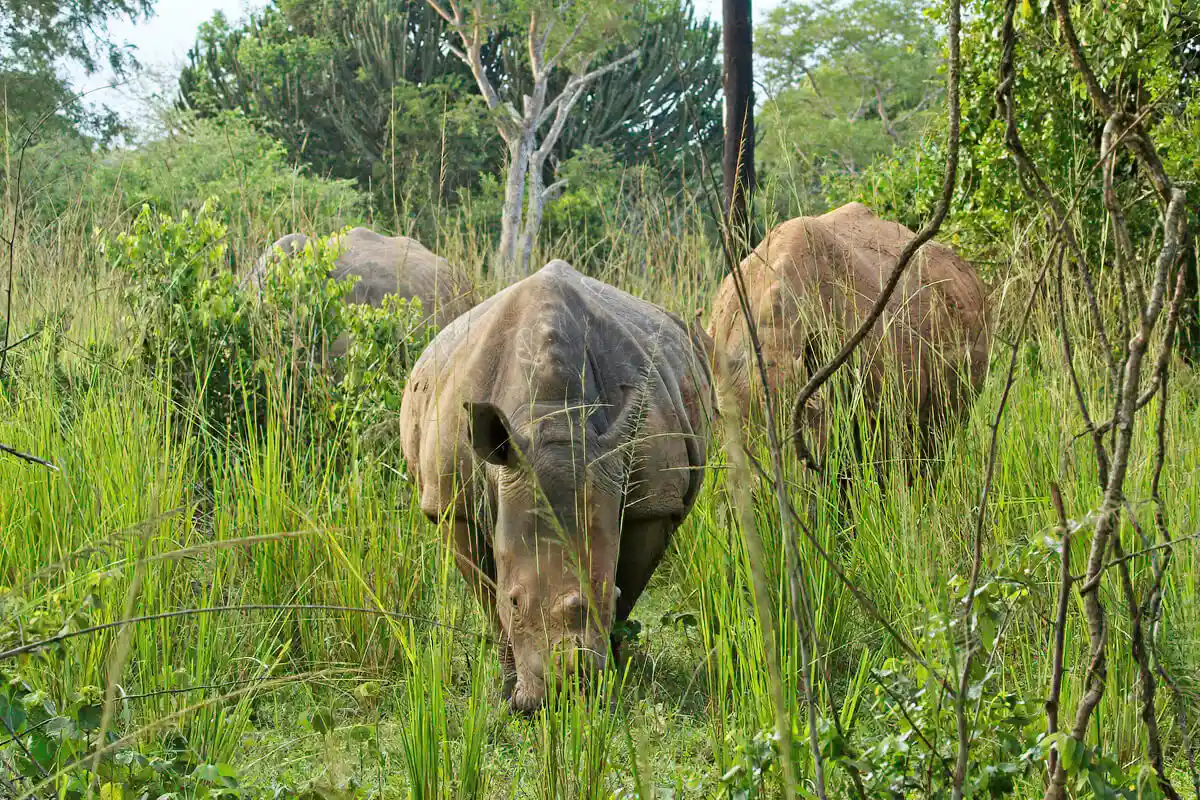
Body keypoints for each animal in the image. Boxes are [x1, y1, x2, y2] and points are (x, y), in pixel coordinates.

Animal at [399, 261, 714, 711]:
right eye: (516, 601)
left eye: (609, 596)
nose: (566, 696)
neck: (552, 417)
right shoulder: (451, 503)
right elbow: (489, 600)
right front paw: (507, 690)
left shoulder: (654, 501)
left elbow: (629, 587)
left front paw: (615, 676)